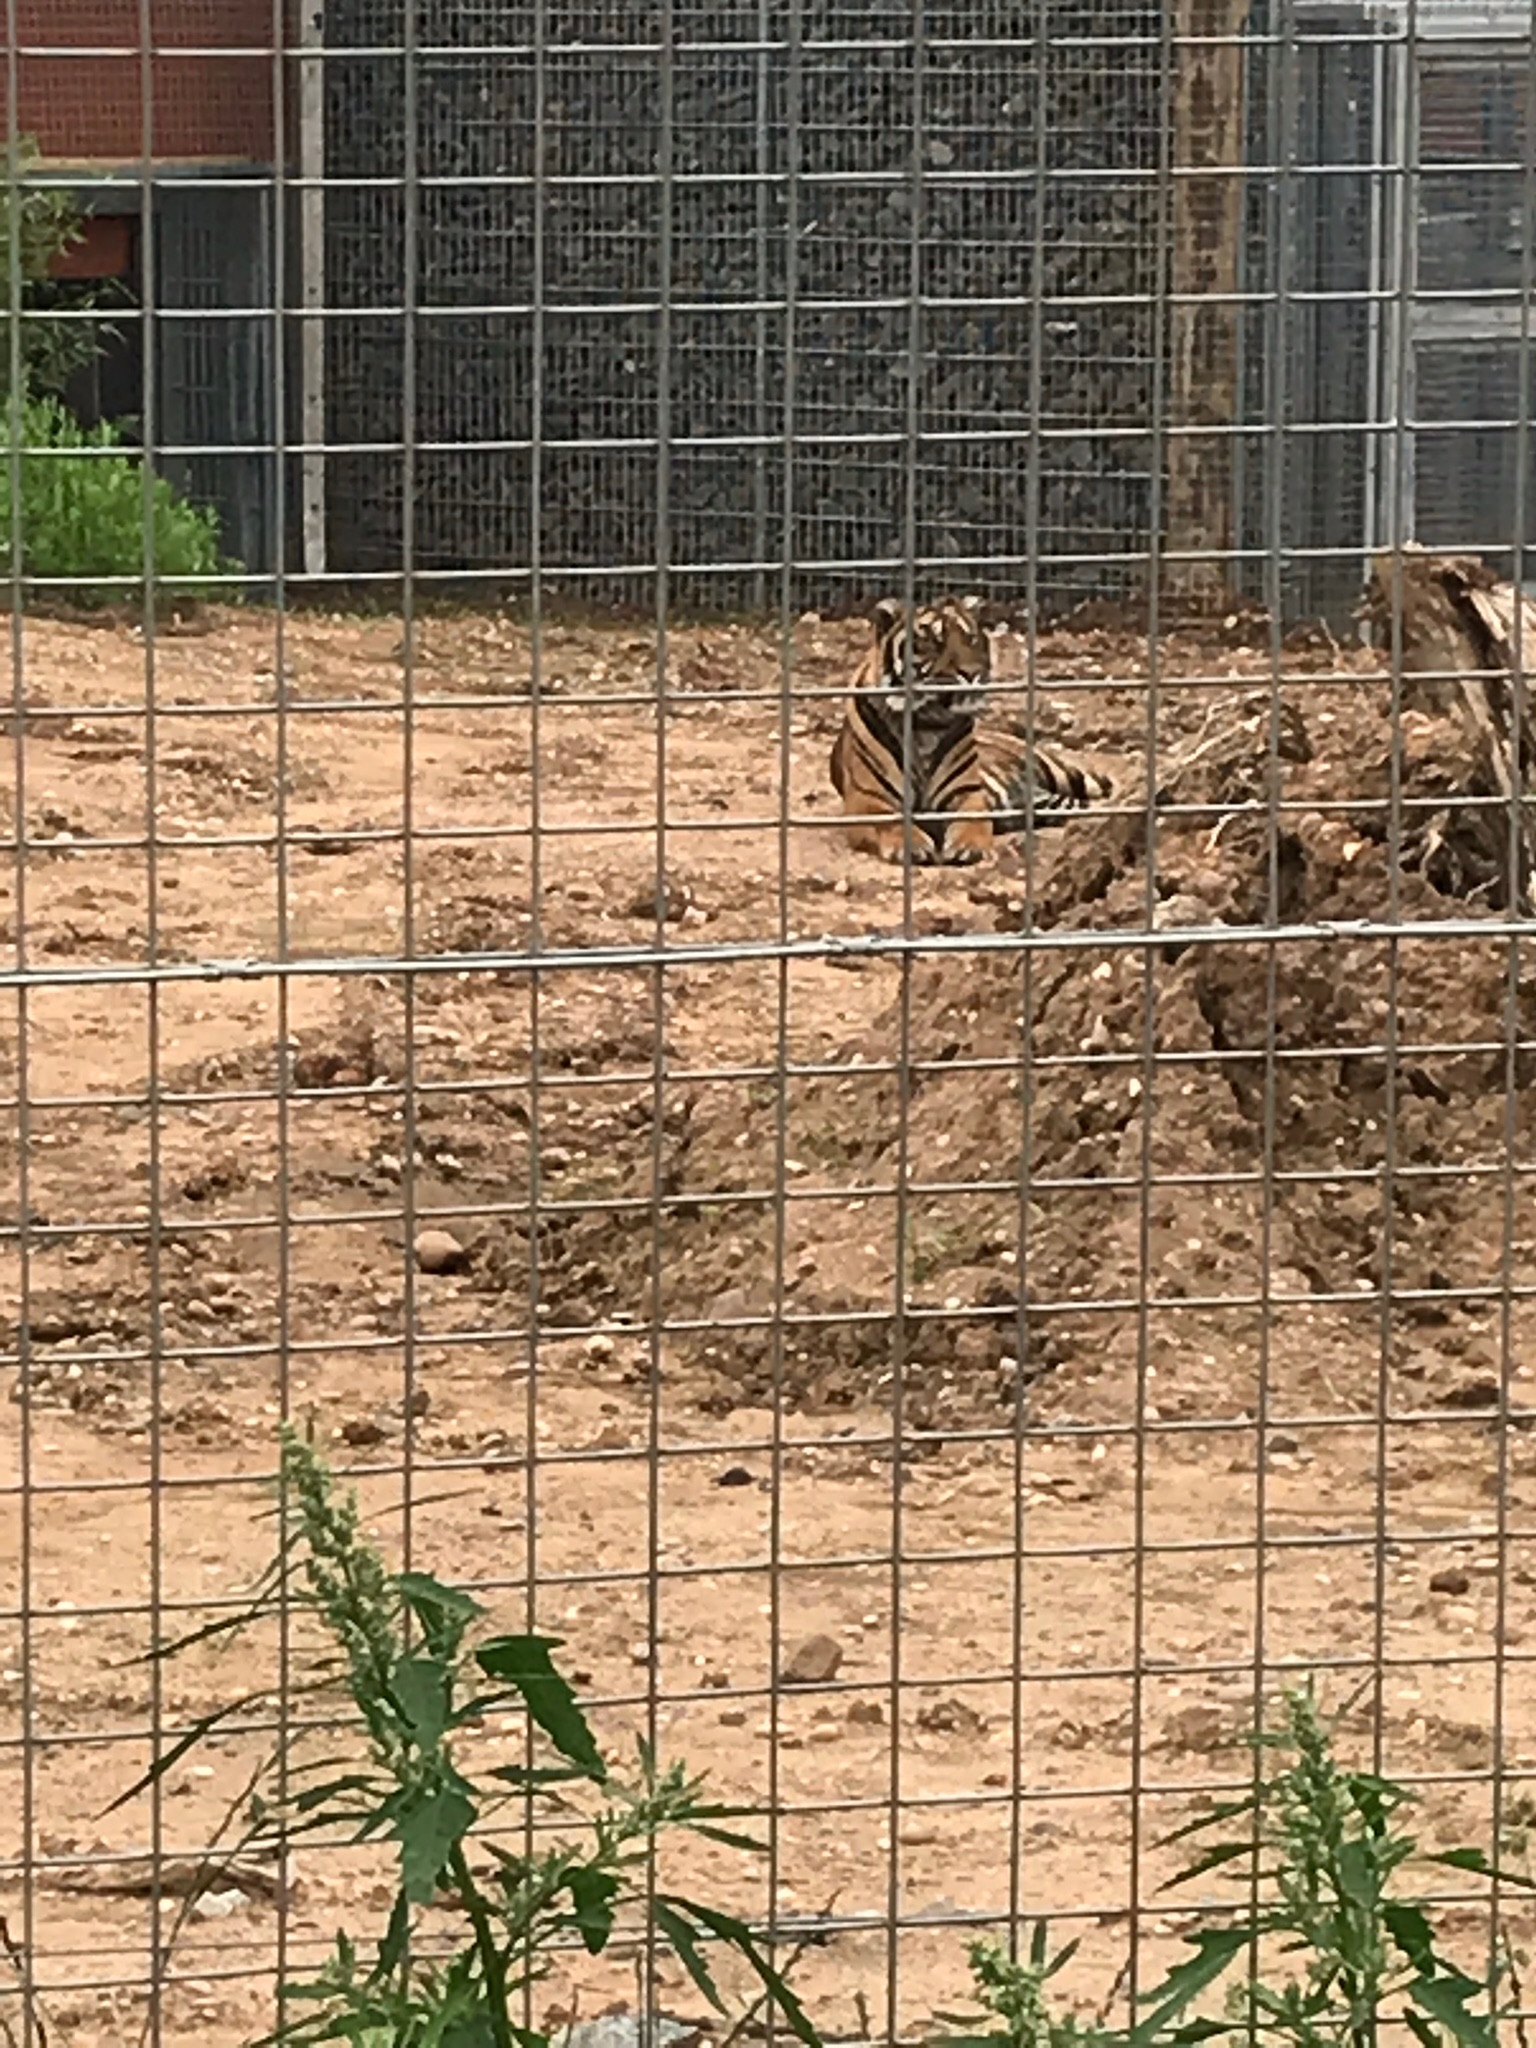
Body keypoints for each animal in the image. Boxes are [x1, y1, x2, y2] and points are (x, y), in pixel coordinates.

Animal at [828, 593, 1113, 865]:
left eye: (971, 639)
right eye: (931, 643)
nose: (972, 673)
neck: (926, 723)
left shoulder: (967, 793)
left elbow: (972, 820)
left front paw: (969, 847)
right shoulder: (869, 799)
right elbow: (892, 820)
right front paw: (913, 846)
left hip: (1065, 773)